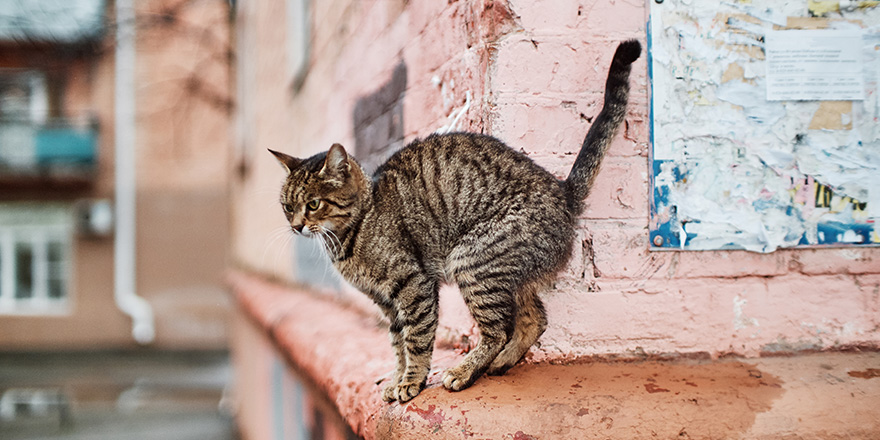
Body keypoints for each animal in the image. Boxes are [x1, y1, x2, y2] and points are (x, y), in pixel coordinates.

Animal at [268, 40, 640, 402]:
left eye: (313, 204)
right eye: (287, 206)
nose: (296, 226)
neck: (351, 235)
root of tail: (563, 191)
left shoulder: (412, 285)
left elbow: (416, 339)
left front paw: (410, 382)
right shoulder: (386, 303)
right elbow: (397, 343)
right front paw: (395, 379)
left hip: (473, 259)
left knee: (497, 329)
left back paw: (465, 370)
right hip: (505, 273)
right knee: (535, 319)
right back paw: (501, 362)